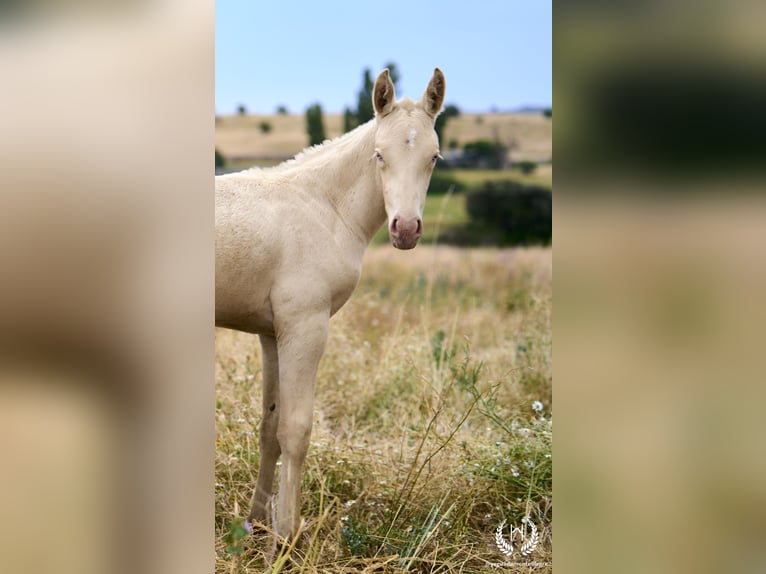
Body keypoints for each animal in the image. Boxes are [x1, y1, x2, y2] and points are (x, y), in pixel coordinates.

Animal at [216, 70, 448, 544]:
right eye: (379, 154)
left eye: (434, 157)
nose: (406, 230)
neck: (324, 206)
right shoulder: (305, 327)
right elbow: (296, 430)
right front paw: (286, 538)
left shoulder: (272, 333)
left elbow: (270, 427)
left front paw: (256, 526)